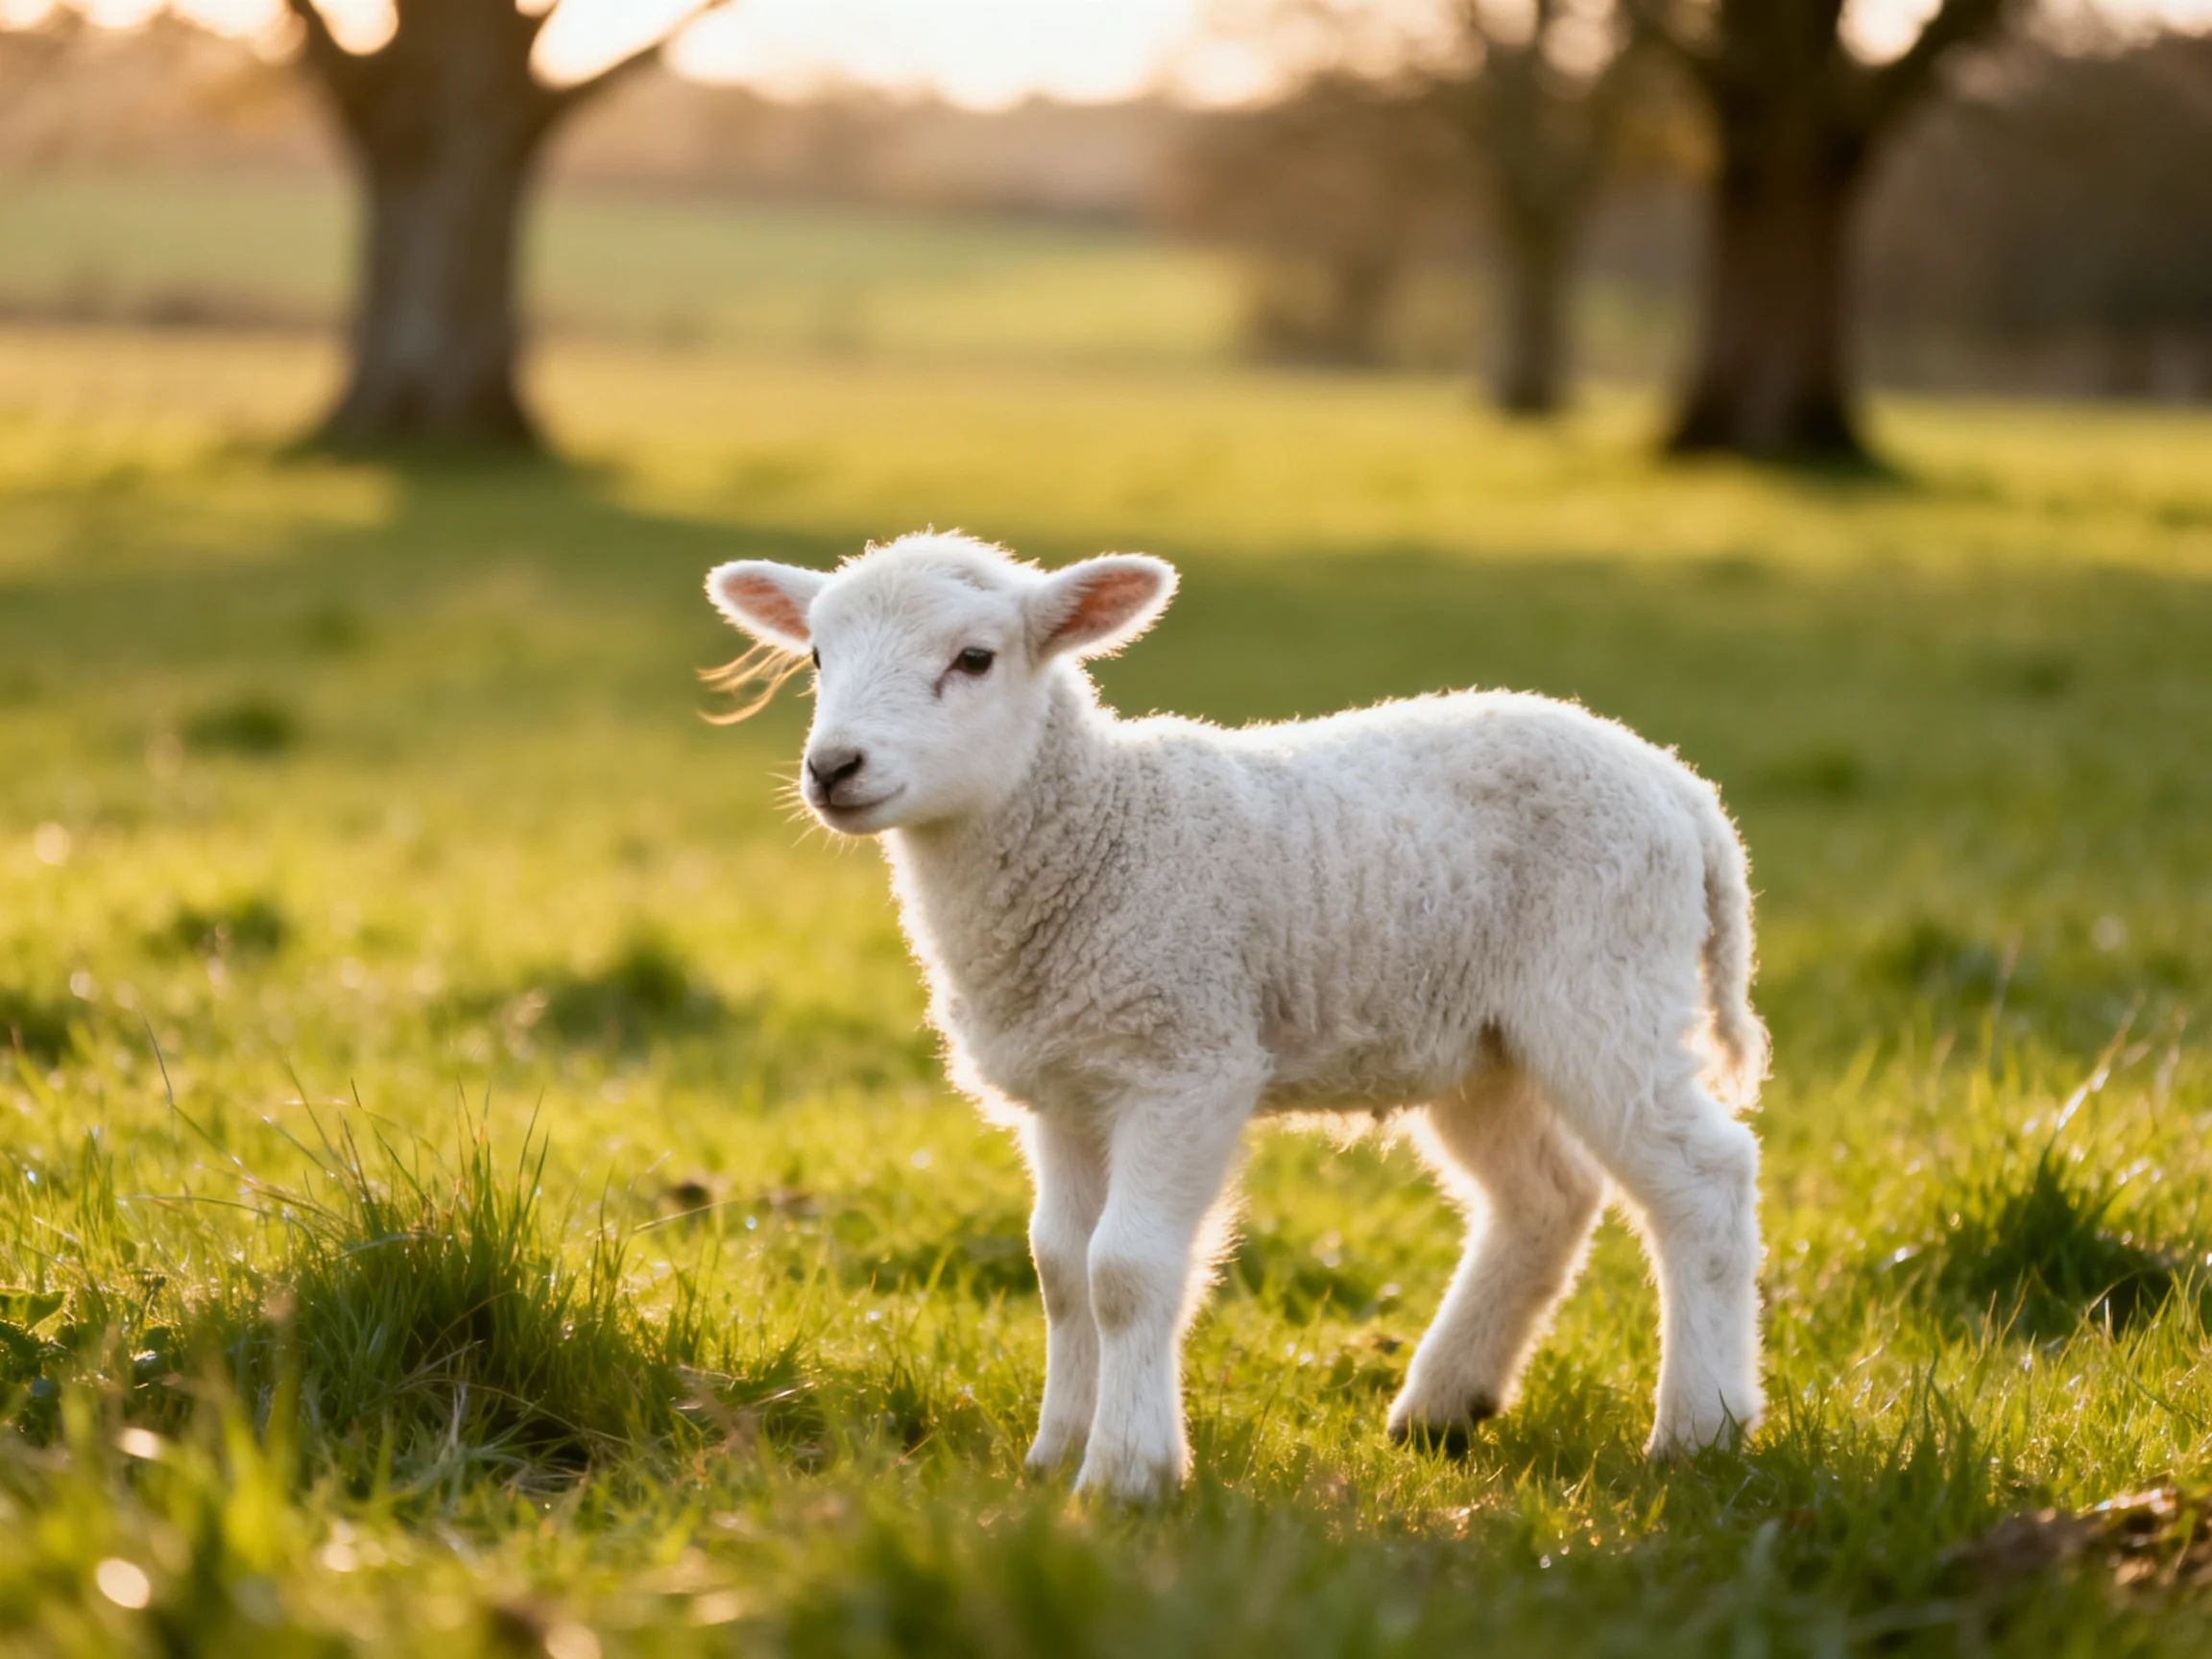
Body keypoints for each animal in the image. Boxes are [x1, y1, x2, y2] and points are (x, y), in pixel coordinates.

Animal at [704, 530, 1770, 1501]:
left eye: (974, 659)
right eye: (816, 657)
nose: (834, 768)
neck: (1095, 832)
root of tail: (1680, 787)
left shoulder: (1186, 1062)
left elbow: (1126, 1271)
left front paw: (1126, 1473)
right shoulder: (1066, 1087)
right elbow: (1060, 1271)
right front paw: (1053, 1456)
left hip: (1605, 985)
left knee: (1704, 1178)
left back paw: (1700, 1430)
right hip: (1483, 1042)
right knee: (1544, 1198)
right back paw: (1442, 1409)